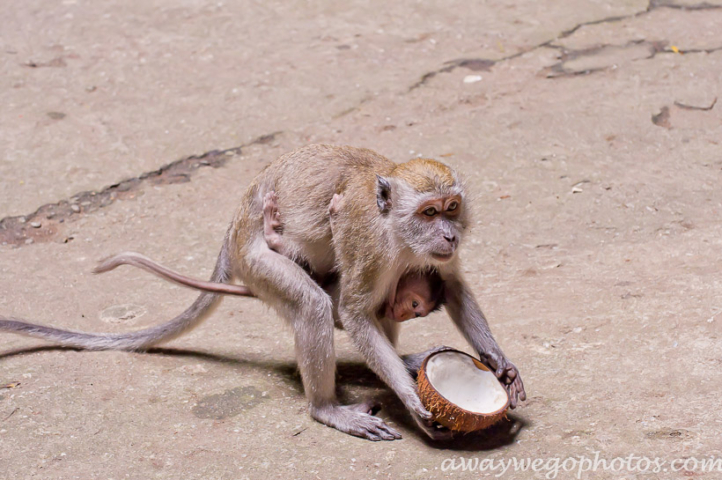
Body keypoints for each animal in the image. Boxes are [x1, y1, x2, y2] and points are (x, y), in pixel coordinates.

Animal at [0, 144, 524, 440]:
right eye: (428, 213)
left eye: (452, 208)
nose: (450, 235)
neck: (397, 232)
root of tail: (238, 217)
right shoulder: (368, 245)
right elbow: (355, 313)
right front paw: (413, 400)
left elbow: (452, 286)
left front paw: (500, 363)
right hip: (256, 266)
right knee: (315, 305)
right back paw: (326, 408)